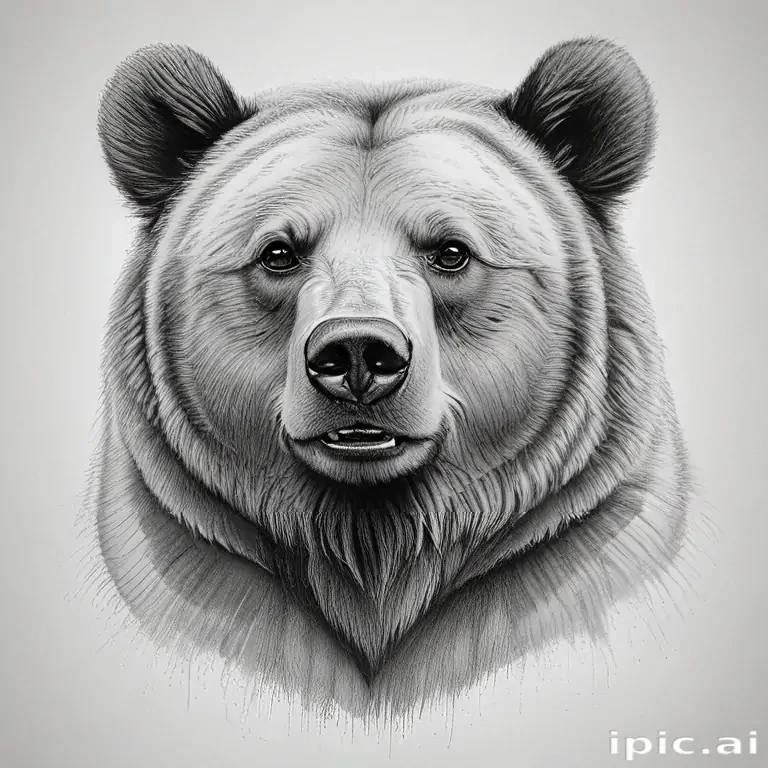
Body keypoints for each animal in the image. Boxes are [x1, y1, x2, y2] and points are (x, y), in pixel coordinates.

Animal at [89, 37, 691, 719]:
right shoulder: (189, 551)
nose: (357, 353)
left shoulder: (582, 540)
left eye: (451, 250)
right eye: (278, 252)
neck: (373, 544)